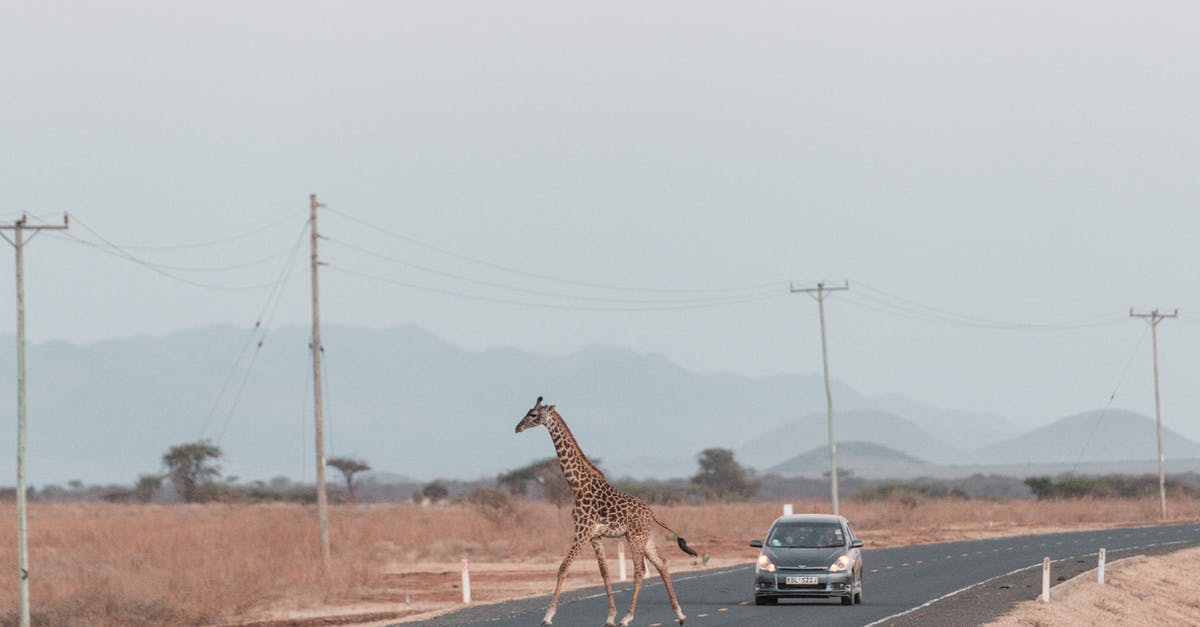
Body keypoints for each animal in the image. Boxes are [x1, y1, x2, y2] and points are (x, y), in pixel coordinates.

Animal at [515, 397, 698, 627]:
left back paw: (628, 617)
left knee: (640, 569)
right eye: (528, 411)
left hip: (634, 537)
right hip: (645, 537)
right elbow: (604, 571)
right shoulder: (595, 536)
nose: (517, 428)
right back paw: (680, 614)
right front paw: (610, 616)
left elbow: (563, 567)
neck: (577, 485)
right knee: (661, 563)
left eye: (533, 414)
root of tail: (652, 514)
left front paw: (547, 617)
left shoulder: (582, 531)